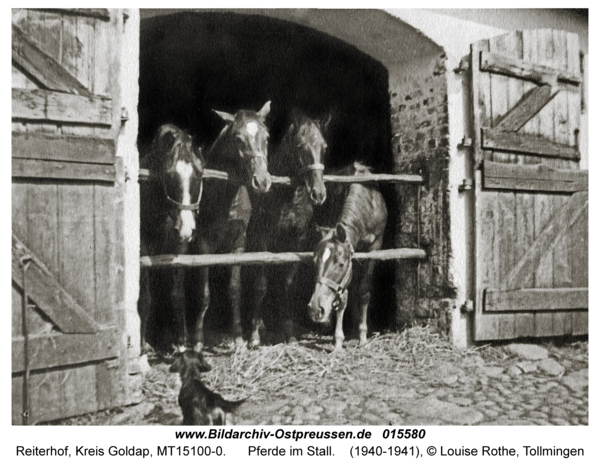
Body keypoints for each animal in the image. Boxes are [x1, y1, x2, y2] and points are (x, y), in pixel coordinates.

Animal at [139, 122, 205, 352]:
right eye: (168, 176)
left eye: (199, 175)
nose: (186, 229)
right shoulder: (143, 248)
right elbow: (146, 298)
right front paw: (142, 349)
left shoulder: (178, 249)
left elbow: (177, 295)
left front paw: (181, 343)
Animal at [191, 102, 274, 352]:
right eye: (238, 138)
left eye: (267, 137)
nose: (262, 181)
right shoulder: (203, 245)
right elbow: (203, 294)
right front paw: (197, 341)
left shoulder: (238, 243)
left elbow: (234, 289)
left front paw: (238, 337)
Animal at [246, 109, 330, 344]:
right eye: (301, 146)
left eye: (324, 147)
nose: (319, 194)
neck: (288, 197)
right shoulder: (262, 240)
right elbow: (260, 285)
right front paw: (254, 335)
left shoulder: (296, 240)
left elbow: (287, 285)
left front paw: (289, 331)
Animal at [308, 163, 386, 350]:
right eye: (315, 262)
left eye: (341, 264)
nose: (315, 309)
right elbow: (343, 298)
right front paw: (338, 339)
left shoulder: (375, 247)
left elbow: (364, 291)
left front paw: (363, 335)